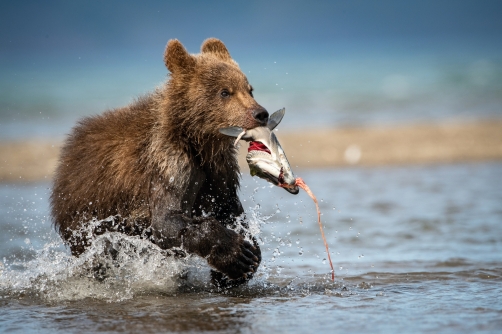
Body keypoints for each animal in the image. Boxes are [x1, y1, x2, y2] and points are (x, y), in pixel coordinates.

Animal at [50, 38, 266, 284]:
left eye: (249, 89)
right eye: (224, 92)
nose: (261, 113)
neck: (198, 139)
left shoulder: (220, 170)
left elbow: (228, 207)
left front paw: (246, 258)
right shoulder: (170, 162)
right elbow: (166, 221)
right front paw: (237, 254)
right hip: (86, 213)